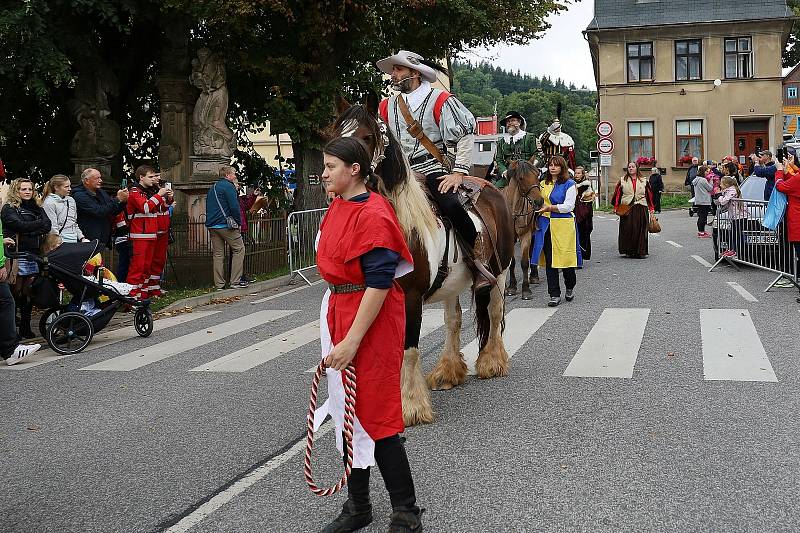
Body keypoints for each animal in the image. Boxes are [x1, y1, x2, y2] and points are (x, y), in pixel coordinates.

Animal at [330, 104, 512, 426]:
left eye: (366, 136)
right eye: (336, 132)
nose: (333, 171)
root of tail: (489, 186)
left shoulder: (411, 298)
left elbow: (410, 351)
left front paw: (411, 406)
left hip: (500, 271)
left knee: (493, 311)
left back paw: (492, 362)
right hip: (453, 283)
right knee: (453, 321)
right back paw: (448, 371)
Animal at [500, 158, 544, 300]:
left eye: (537, 174)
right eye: (521, 178)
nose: (539, 201)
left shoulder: (526, 235)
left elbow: (524, 262)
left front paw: (526, 289)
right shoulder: (510, 239)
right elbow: (512, 263)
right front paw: (511, 287)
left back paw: (534, 276)